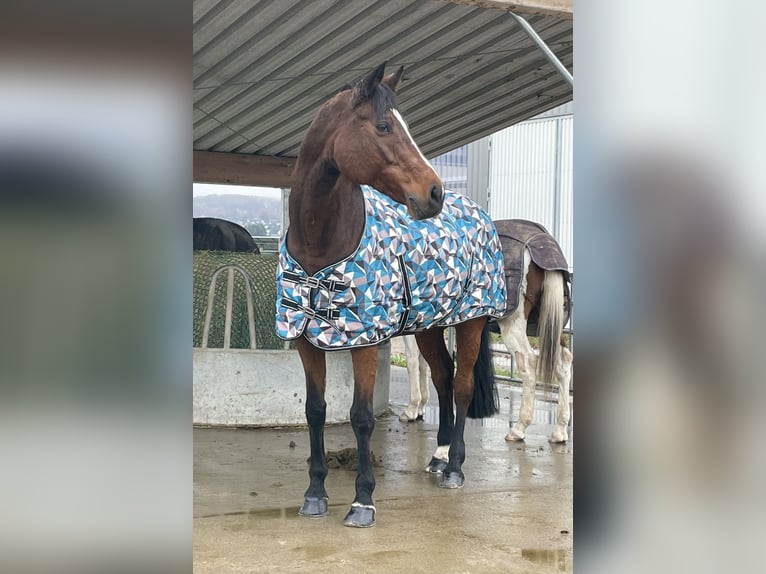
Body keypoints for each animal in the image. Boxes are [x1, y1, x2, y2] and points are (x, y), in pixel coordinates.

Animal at [276, 64, 568, 532]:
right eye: (383, 126)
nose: (434, 193)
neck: (321, 246)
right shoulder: (306, 339)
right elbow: (315, 410)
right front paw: (315, 493)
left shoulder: (367, 340)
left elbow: (361, 416)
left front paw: (363, 501)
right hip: (434, 326)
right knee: (446, 376)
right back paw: (440, 455)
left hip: (475, 323)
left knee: (465, 385)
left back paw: (458, 466)